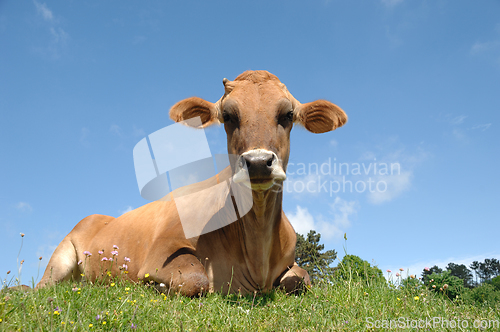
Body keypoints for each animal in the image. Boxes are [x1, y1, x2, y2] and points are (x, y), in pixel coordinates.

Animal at [37, 70, 348, 296]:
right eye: (228, 116)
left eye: (287, 115)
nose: (258, 162)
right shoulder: (162, 252)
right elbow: (196, 280)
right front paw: (153, 286)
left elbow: (302, 279)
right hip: (61, 256)